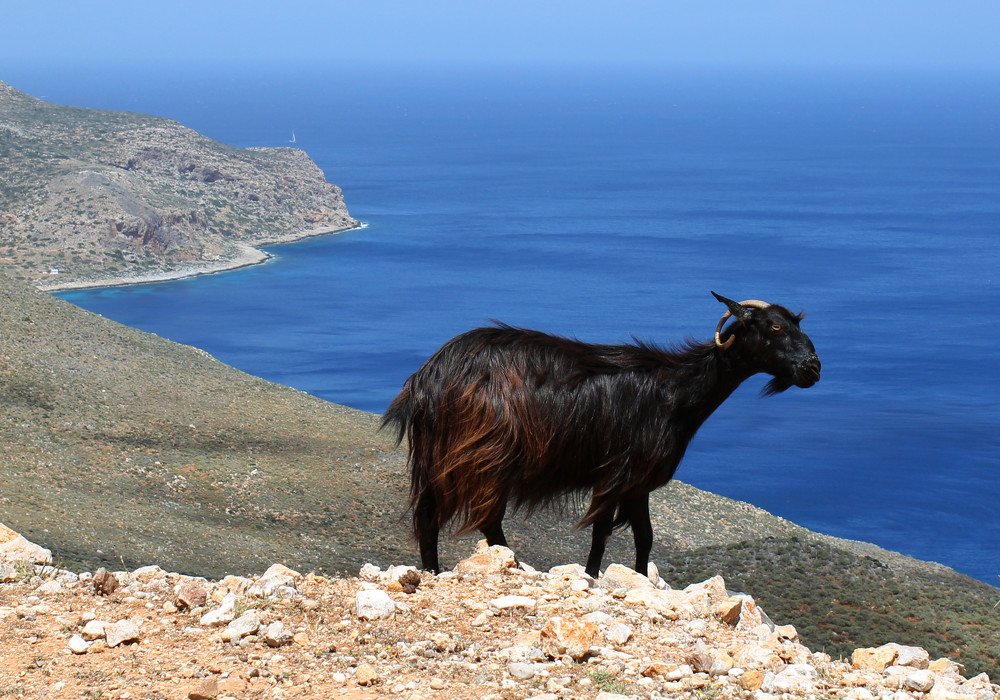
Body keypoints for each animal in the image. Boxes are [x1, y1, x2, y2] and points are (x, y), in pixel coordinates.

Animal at [383, 292, 820, 577]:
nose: (812, 369)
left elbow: (644, 537)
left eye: (796, 323)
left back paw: (433, 572)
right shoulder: (617, 474)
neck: (675, 392)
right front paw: (593, 577)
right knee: (485, 520)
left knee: (430, 517)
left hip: (438, 459)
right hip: (486, 456)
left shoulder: (638, 484)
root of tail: (427, 378)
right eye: (774, 326)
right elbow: (600, 535)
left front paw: (641, 580)